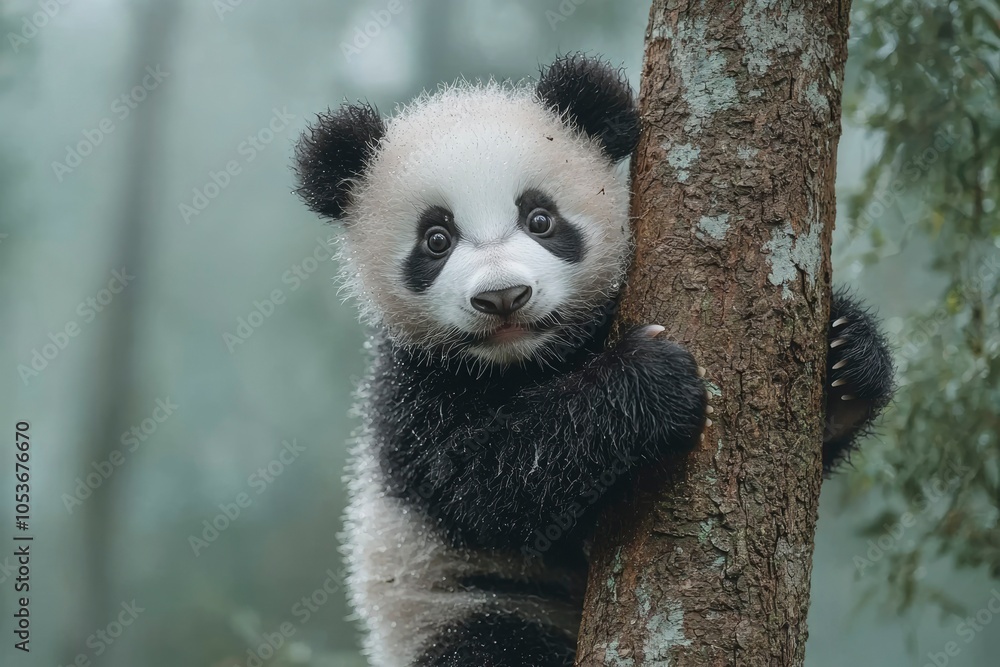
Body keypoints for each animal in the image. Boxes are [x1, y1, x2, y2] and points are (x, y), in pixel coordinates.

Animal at [293, 55, 894, 667]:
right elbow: (486, 483)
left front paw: (847, 361)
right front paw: (651, 383)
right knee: (494, 644)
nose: (503, 297)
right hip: (464, 603)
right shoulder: (412, 394)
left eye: (540, 219)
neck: (526, 359)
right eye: (436, 239)